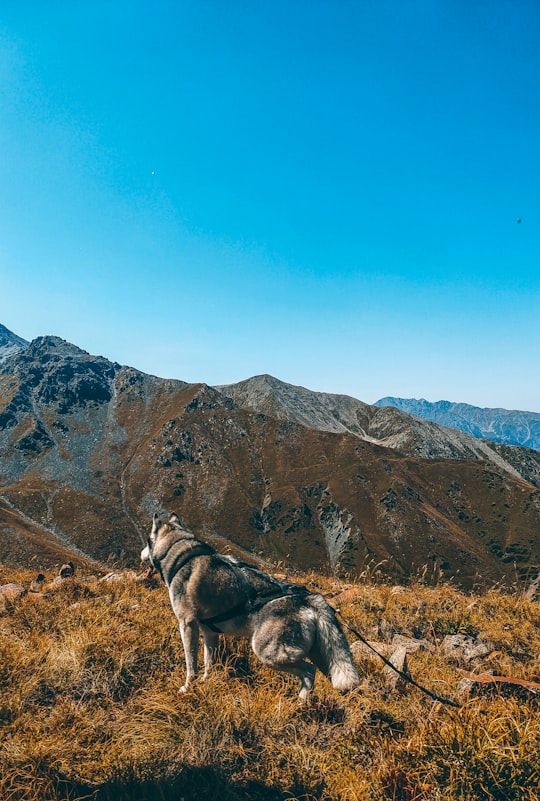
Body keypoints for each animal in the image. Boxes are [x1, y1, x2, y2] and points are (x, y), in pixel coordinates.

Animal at [141, 516, 358, 696]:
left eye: (147, 541)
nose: (140, 553)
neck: (179, 552)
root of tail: (309, 599)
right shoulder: (210, 633)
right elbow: (208, 663)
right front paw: (206, 682)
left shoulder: (187, 624)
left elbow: (191, 665)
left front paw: (188, 688)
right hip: (324, 658)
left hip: (267, 652)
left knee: (308, 671)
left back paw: (300, 704)